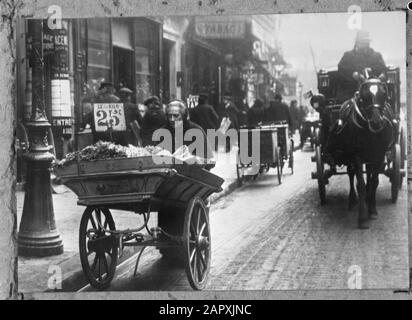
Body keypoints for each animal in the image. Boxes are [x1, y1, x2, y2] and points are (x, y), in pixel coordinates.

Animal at [324, 77, 394, 229]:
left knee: (368, 174)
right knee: (351, 175)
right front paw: (362, 218)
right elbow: (360, 184)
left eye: (383, 93)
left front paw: (372, 211)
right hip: (349, 156)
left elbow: (374, 182)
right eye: (364, 96)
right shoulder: (357, 156)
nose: (376, 121)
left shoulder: (379, 156)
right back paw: (352, 200)